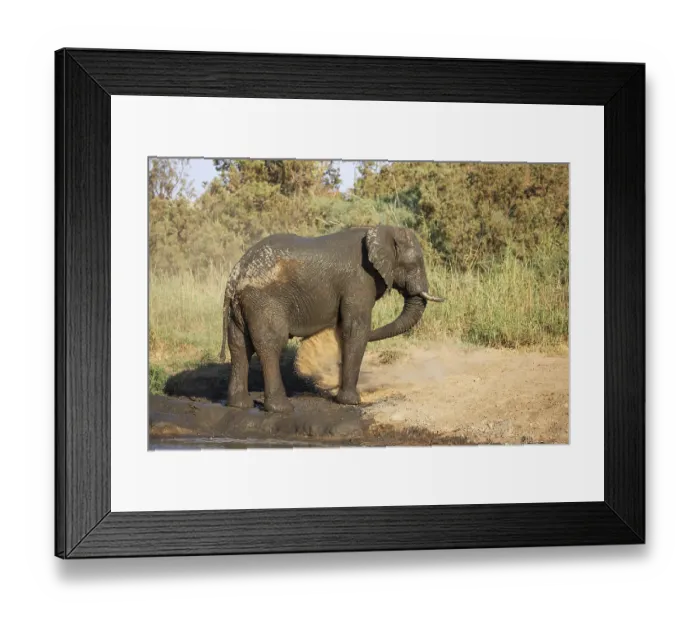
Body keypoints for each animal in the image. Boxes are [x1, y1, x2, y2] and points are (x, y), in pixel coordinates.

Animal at [219, 224, 445, 413]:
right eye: (414, 264)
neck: (381, 230)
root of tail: (235, 278)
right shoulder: (359, 281)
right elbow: (356, 329)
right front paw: (351, 402)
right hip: (264, 301)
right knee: (271, 344)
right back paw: (281, 408)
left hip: (241, 307)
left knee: (239, 345)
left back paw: (240, 405)